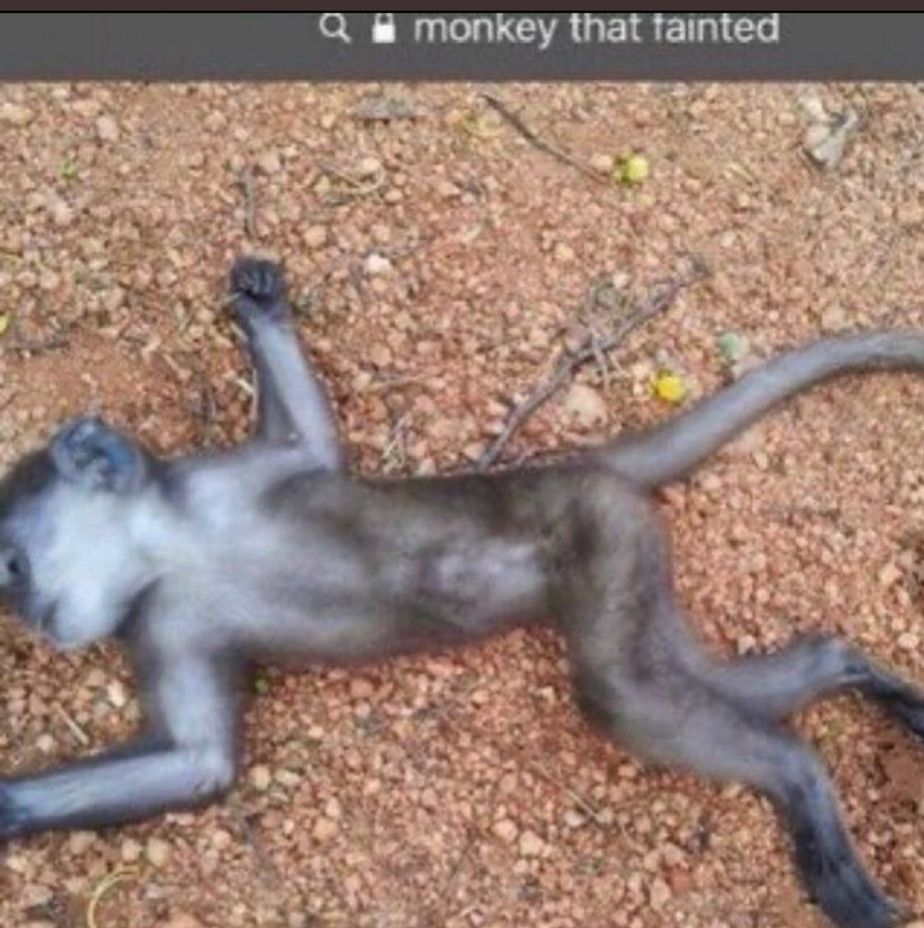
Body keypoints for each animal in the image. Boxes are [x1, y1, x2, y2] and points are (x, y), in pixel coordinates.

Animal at [2, 257, 924, 928]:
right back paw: (852, 676)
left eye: (10, 565)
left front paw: (261, 304)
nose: (32, 619)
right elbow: (199, 763)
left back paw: (804, 783)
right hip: (630, 557)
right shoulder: (160, 621)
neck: (173, 547)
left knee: (625, 691)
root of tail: (578, 467)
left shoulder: (221, 480)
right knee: (688, 674)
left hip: (599, 532)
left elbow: (315, 449)